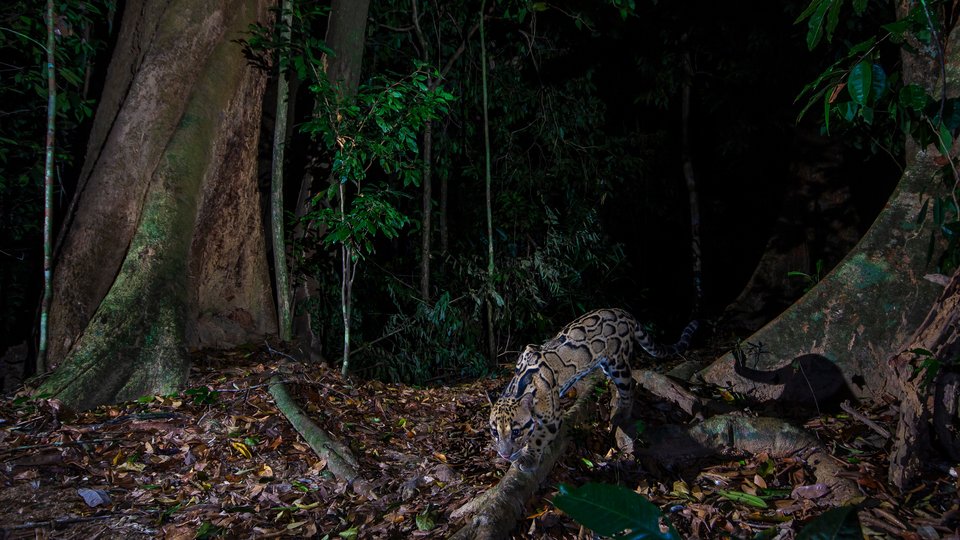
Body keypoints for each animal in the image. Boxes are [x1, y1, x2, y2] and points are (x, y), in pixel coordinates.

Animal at [489, 308, 698, 471]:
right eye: (494, 432)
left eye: (516, 432)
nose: (504, 454)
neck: (520, 384)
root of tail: (621, 311)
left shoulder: (552, 418)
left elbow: (538, 438)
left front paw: (528, 457)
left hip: (618, 362)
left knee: (629, 387)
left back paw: (622, 413)